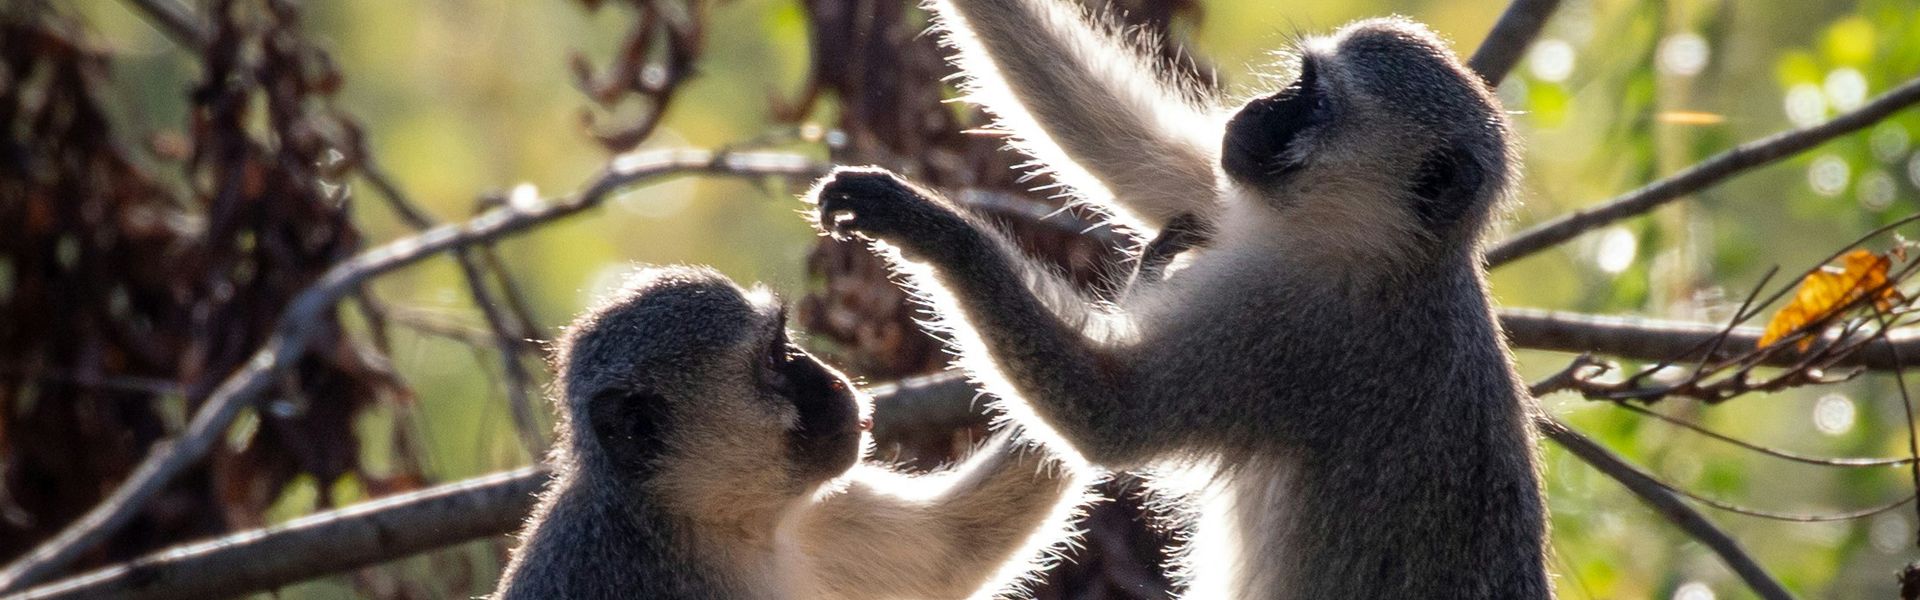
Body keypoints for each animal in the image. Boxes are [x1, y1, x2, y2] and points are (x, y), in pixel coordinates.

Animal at [490, 266, 1085, 600]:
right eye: (775, 359)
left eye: (784, 342)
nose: (829, 377)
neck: (715, 526)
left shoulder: (813, 517)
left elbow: (953, 547)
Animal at [805, 4, 1552, 598]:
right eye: (1302, 82)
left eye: (1316, 103)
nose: (1259, 110)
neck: (1383, 251)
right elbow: (1139, 156)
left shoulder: (1305, 330)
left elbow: (1113, 415)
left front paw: (927, 227)